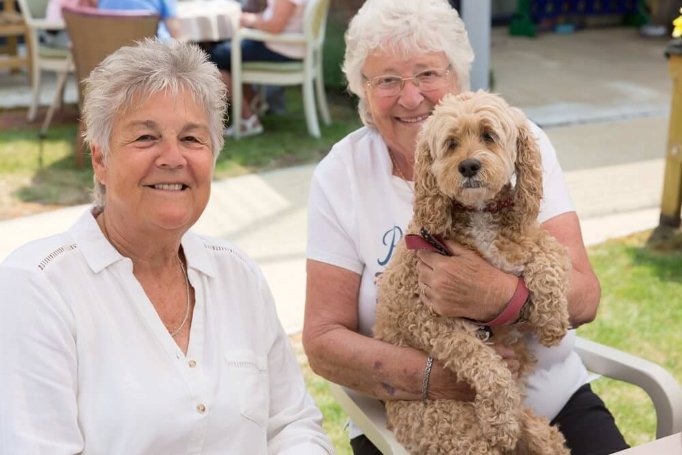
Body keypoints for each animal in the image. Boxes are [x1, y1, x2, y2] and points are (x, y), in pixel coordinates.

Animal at [374, 91, 572, 454]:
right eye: (451, 143)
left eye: (488, 135)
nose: (468, 166)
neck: (480, 216)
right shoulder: (427, 319)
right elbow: (484, 361)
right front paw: (500, 420)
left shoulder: (539, 244)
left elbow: (548, 263)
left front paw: (552, 322)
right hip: (460, 435)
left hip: (539, 431)